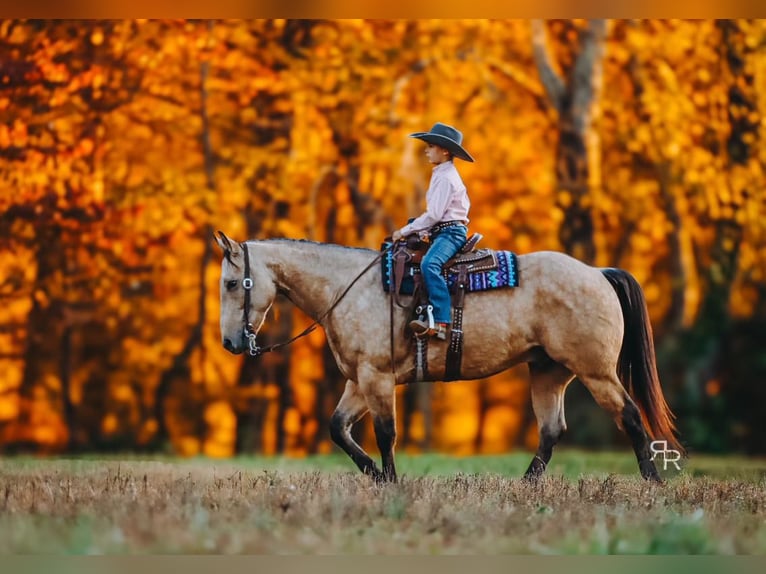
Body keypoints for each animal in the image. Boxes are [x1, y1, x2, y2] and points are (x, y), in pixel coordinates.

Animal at [214, 231, 683, 482]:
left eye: (233, 283)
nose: (231, 344)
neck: (348, 288)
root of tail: (598, 273)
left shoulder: (377, 377)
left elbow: (386, 433)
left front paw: (390, 480)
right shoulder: (358, 380)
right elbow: (338, 429)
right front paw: (375, 475)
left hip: (596, 372)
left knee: (630, 416)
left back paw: (653, 482)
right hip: (548, 372)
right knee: (552, 430)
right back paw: (525, 486)